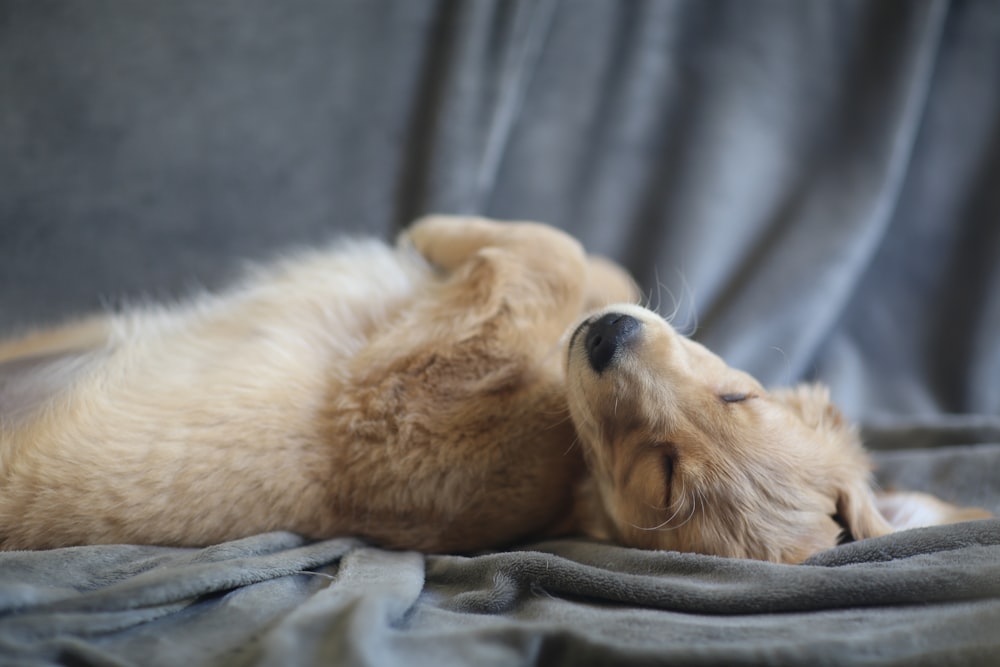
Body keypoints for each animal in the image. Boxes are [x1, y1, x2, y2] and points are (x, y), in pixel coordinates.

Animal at [0, 217, 988, 560]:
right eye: (740, 398)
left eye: (662, 477)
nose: (608, 337)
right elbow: (588, 258)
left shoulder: (391, 404)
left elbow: (545, 254)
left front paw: (436, 228)